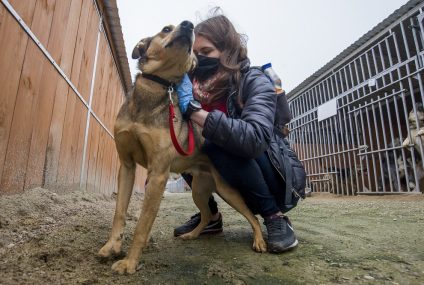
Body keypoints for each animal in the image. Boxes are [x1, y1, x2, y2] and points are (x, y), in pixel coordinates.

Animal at [97, 20, 266, 272]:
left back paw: (260, 240)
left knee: (252, 216)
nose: (188, 24)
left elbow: (142, 225)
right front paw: (111, 247)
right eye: (166, 29)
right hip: (199, 190)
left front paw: (129, 263)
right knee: (206, 215)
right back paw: (192, 235)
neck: (156, 88)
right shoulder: (126, 166)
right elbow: (120, 212)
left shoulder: (158, 175)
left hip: (226, 190)